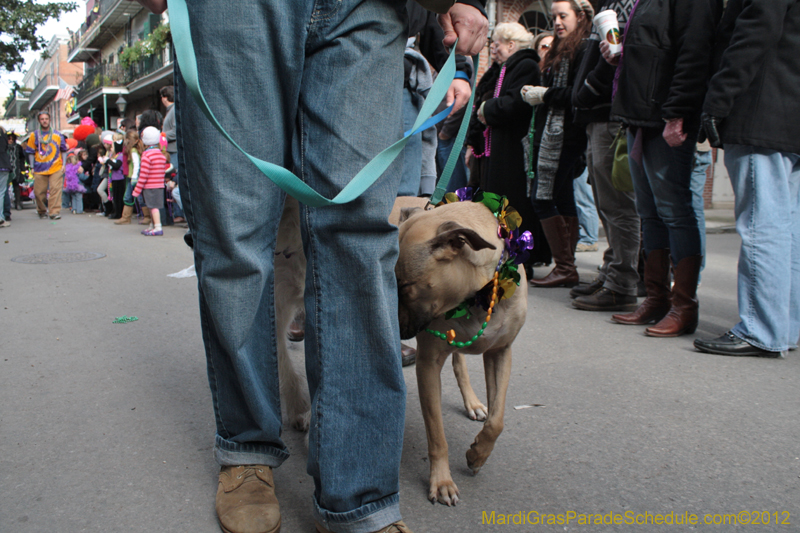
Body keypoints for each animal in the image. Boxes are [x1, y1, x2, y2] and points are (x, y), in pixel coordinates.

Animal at [394, 200, 524, 502]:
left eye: (405, 287)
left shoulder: (501, 352)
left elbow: (497, 421)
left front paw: (478, 455)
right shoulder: (428, 365)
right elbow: (436, 434)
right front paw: (442, 481)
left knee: (459, 364)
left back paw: (473, 403)